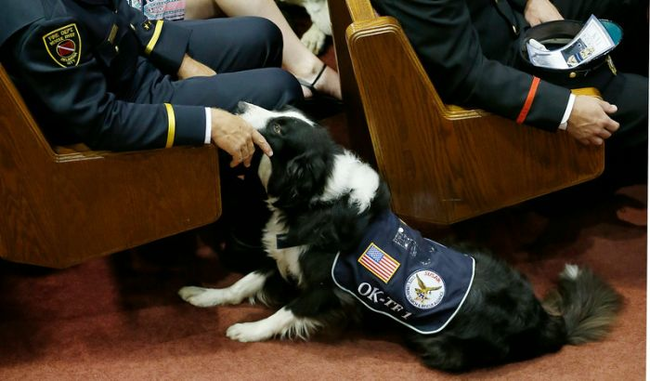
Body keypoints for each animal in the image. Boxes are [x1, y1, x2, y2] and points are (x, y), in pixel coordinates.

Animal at [178, 102, 624, 370]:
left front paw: (247, 331)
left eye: (280, 126)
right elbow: (243, 283)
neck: (315, 197)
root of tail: (548, 322)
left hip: (438, 344)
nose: (238, 106)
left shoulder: (325, 287)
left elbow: (286, 312)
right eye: (282, 114)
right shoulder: (285, 257)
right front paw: (202, 295)